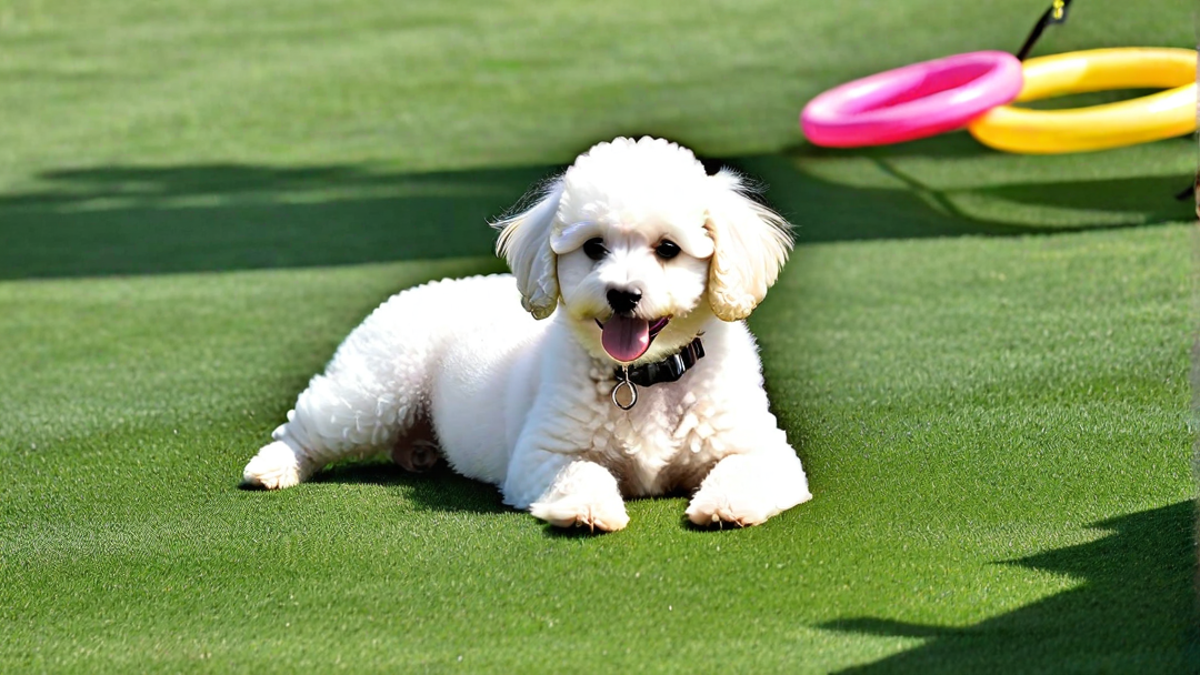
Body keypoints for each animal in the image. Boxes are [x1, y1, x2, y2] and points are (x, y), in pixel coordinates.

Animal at [238, 135, 811, 526]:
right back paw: (273, 467)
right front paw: (587, 509)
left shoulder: (765, 449)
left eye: (668, 249)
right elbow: (583, 471)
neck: (642, 381)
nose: (622, 294)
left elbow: (747, 469)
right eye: (594, 247)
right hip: (373, 393)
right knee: (307, 425)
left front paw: (726, 504)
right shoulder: (542, 454)